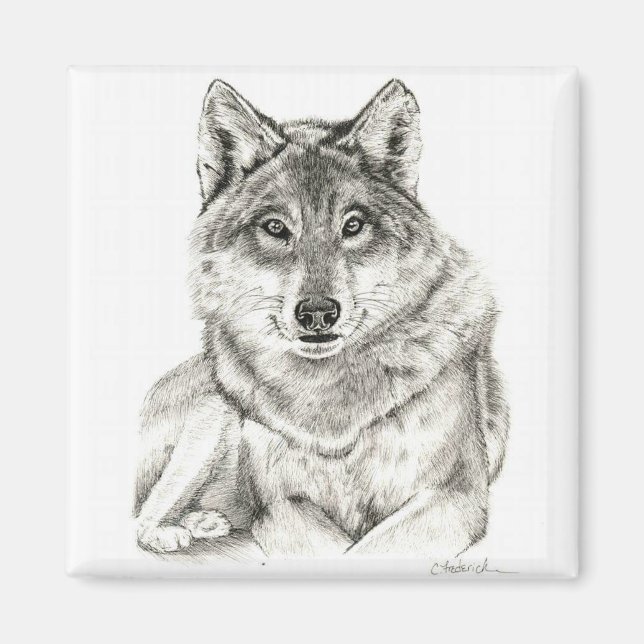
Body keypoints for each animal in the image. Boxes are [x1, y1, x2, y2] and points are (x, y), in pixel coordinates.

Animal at [134, 78, 509, 557]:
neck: (330, 401)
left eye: (353, 225)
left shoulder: (453, 496)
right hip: (212, 421)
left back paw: (205, 521)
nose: (317, 313)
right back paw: (176, 529)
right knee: (144, 516)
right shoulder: (281, 505)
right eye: (275, 227)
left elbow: (371, 549)